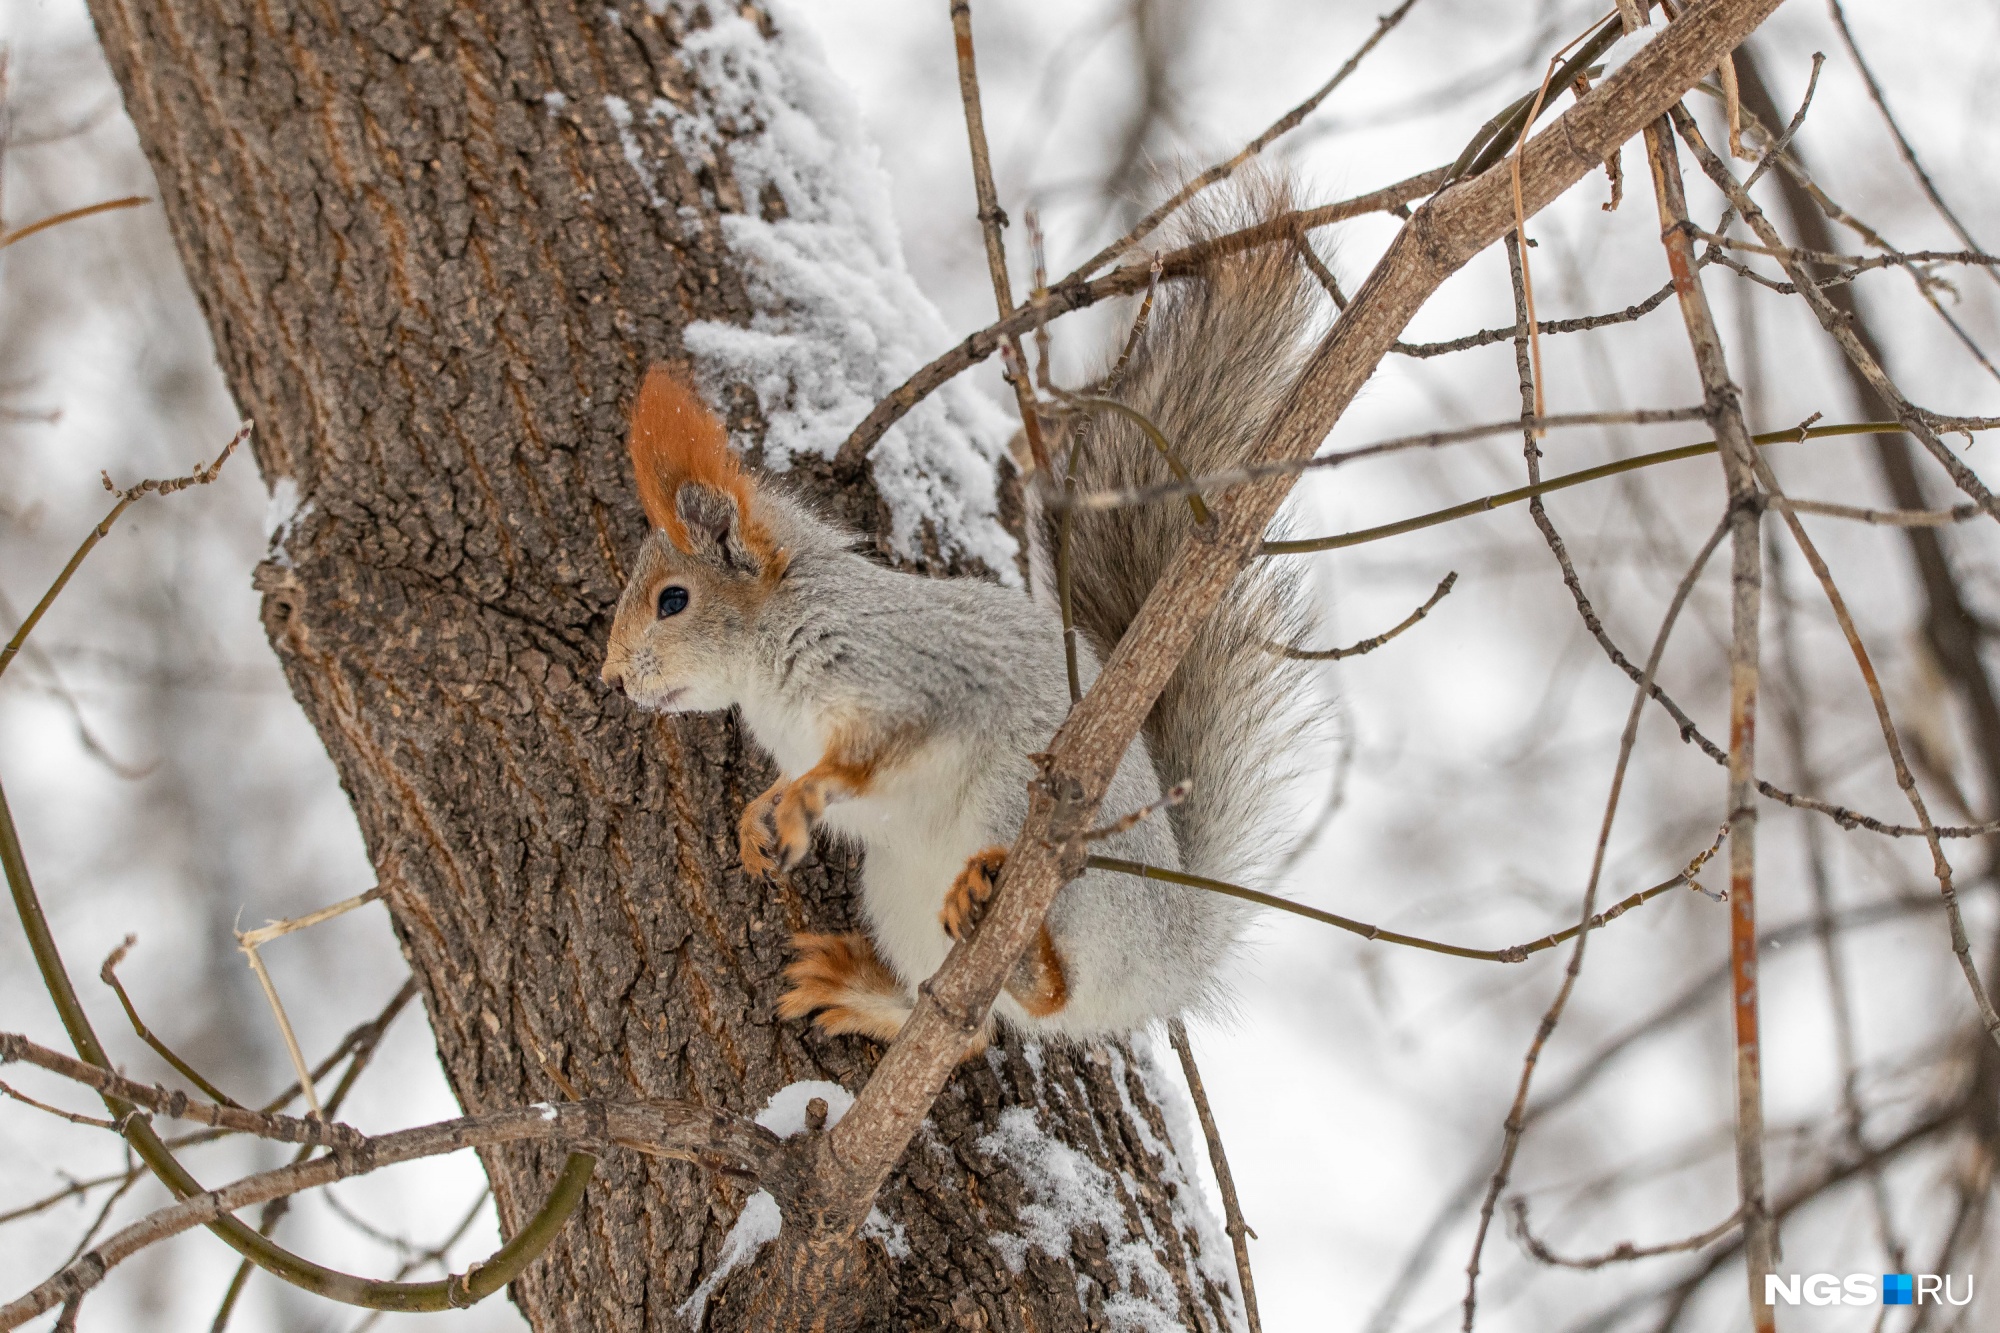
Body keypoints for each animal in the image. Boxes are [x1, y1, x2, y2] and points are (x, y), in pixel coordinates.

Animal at [600, 187, 1320, 1040]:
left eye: (672, 601)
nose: (611, 677)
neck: (772, 658)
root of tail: (1175, 960)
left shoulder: (909, 673)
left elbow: (867, 756)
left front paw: (805, 795)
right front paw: (757, 815)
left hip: (1045, 834)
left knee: (1049, 988)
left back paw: (1013, 931)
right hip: (901, 896)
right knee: (965, 1021)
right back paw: (864, 991)